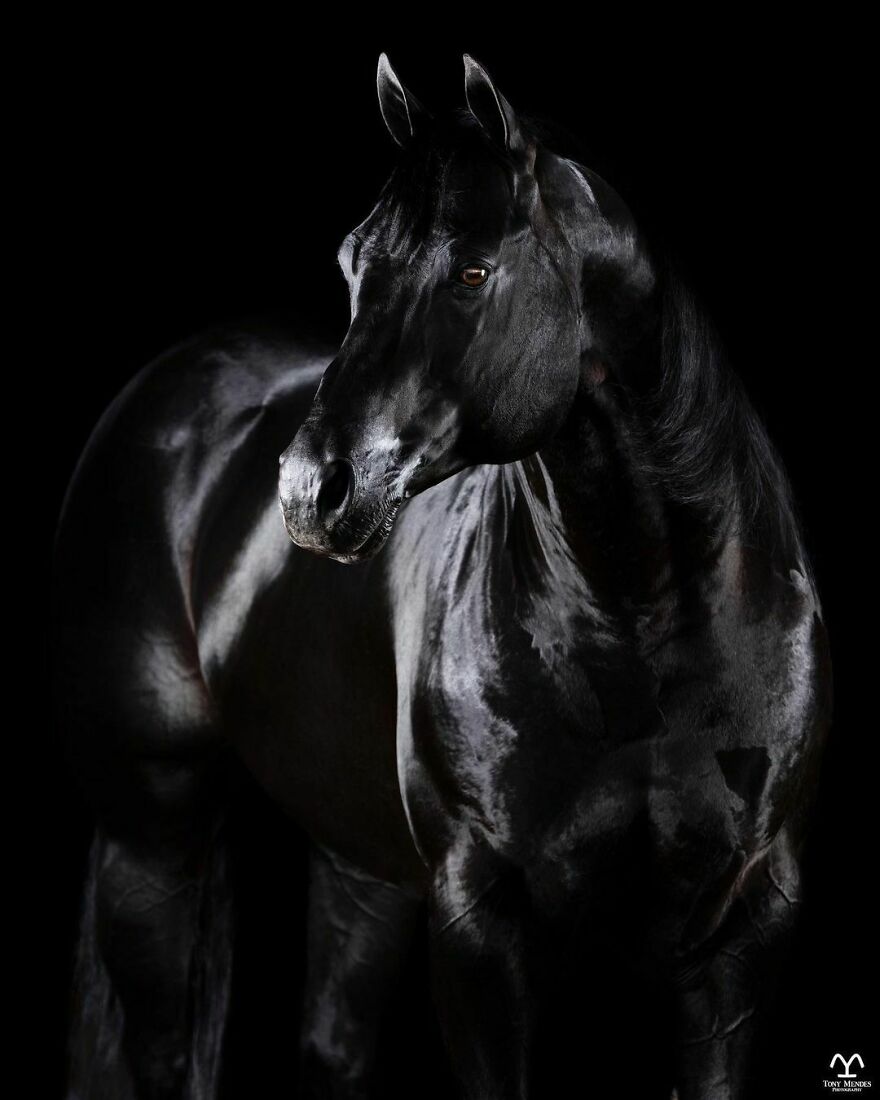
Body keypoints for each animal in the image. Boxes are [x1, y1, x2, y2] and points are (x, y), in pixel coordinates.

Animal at [52, 54, 832, 1100]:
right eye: (353, 264)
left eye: (472, 272)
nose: (309, 490)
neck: (647, 618)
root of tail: (163, 388)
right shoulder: (479, 926)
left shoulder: (743, 934)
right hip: (153, 831)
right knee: (163, 1050)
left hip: (358, 866)